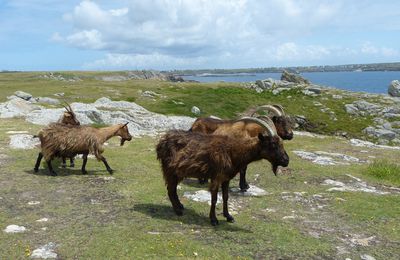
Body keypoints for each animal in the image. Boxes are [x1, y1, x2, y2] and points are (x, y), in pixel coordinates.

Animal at [157, 118, 290, 225]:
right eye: (273, 144)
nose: (286, 160)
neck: (233, 151)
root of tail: (161, 142)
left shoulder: (226, 178)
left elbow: (226, 197)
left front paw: (228, 216)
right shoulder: (216, 177)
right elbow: (215, 198)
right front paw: (214, 219)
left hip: (177, 172)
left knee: (173, 189)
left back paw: (180, 206)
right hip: (170, 169)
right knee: (170, 189)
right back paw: (178, 211)